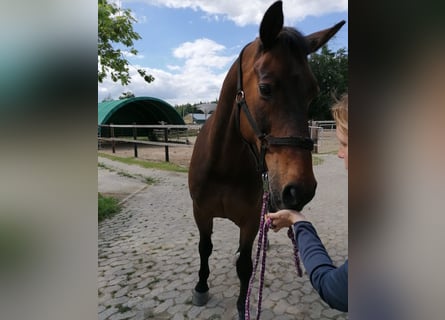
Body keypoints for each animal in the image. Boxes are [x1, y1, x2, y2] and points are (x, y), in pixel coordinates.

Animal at [187, 1, 344, 318]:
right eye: (265, 88)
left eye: (312, 93)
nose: (301, 190)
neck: (224, 166)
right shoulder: (201, 212)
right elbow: (204, 248)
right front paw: (201, 287)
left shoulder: (250, 220)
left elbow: (246, 264)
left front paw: (242, 304)